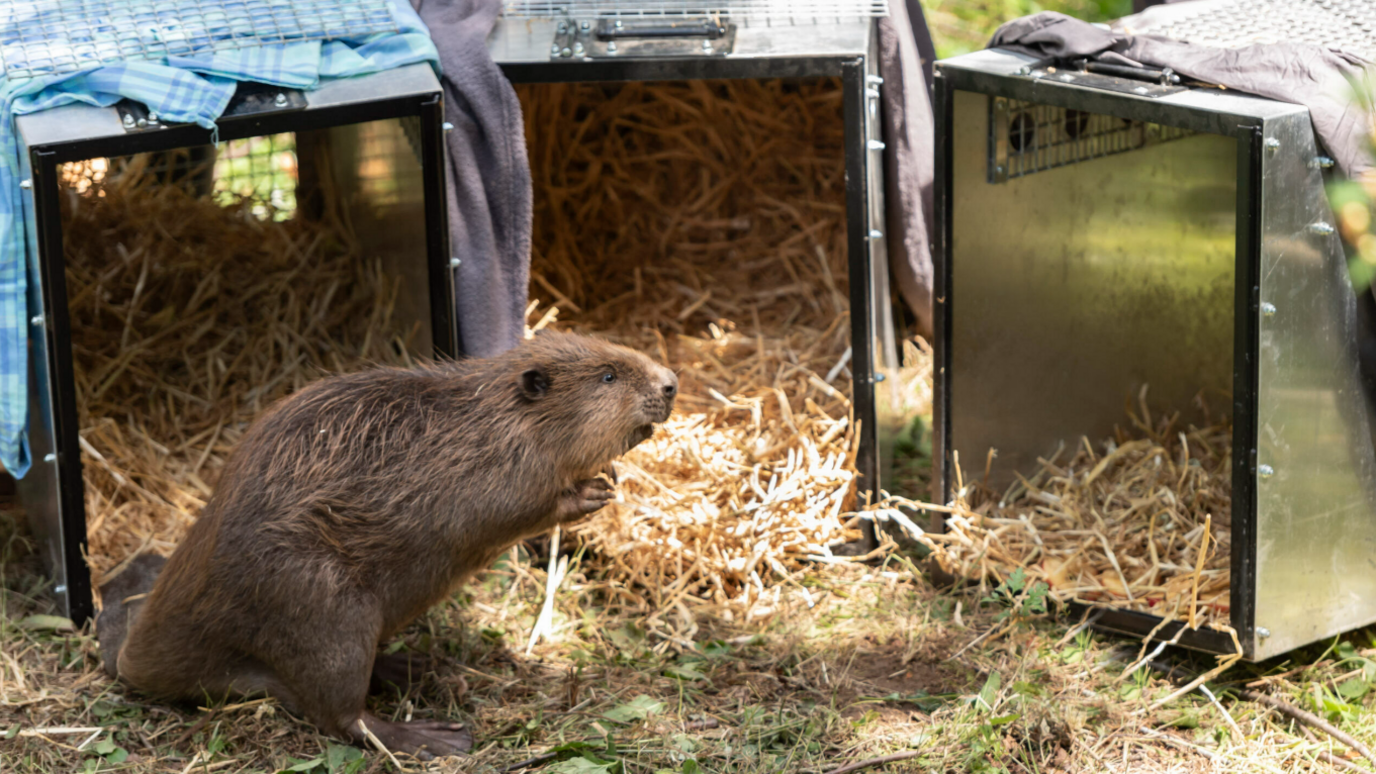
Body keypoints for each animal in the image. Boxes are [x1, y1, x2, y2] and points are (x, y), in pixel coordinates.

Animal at [97, 327, 676, 754]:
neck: (493, 417)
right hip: (322, 605)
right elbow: (512, 508)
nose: (670, 383)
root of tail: (134, 657)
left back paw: (416, 665)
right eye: (608, 375)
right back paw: (433, 735)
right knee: (337, 713)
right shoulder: (492, 468)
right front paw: (593, 491)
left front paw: (612, 475)